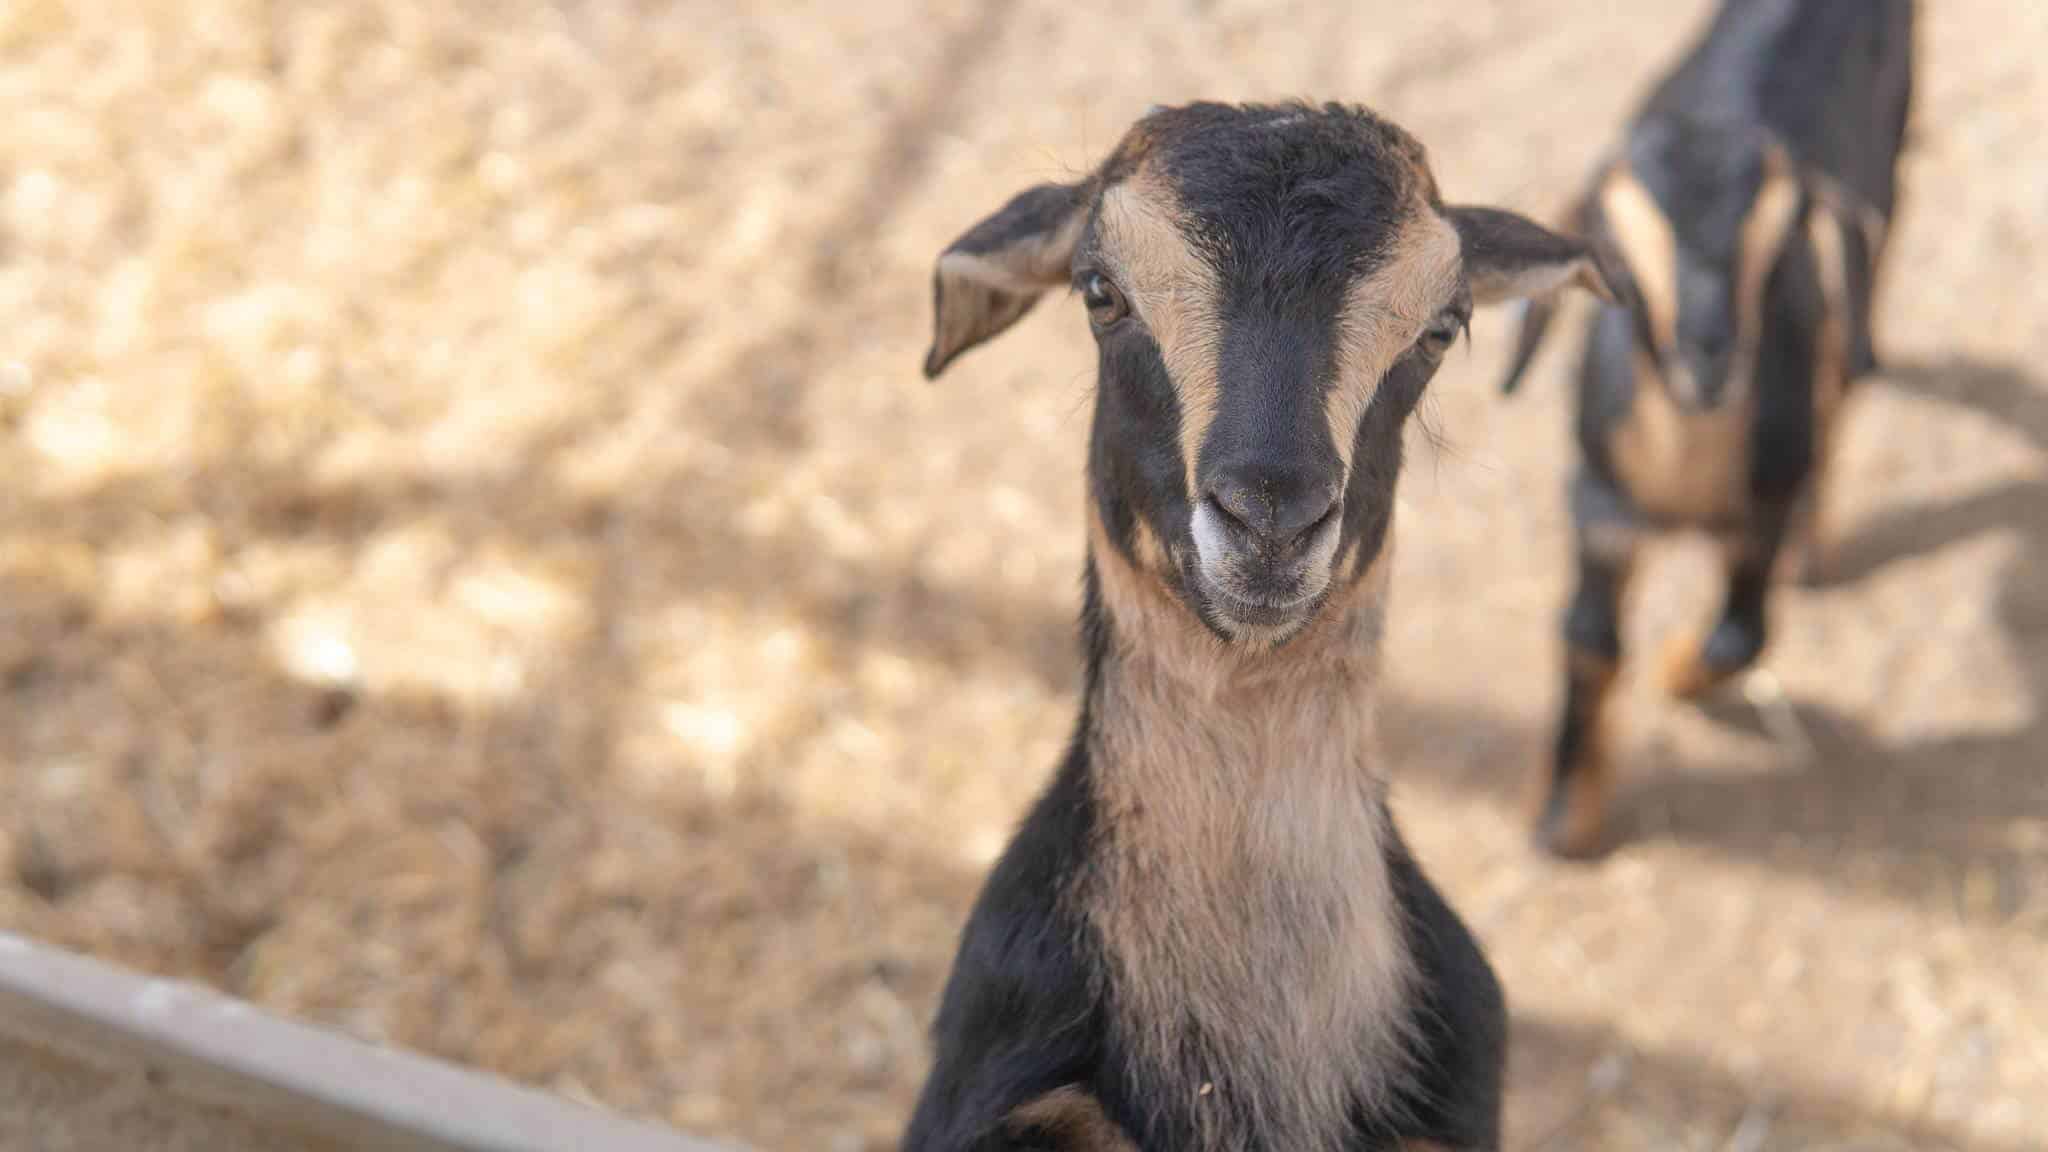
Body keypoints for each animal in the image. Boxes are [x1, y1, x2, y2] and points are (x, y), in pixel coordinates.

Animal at [1507, 0, 1916, 856]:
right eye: (1614, 255)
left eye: (1780, 234)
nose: (1708, 355)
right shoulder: (1599, 508)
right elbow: (1589, 639)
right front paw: (1562, 815)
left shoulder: (1759, 514)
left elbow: (1743, 636)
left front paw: (1673, 667)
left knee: (1847, 364)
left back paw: (1813, 548)